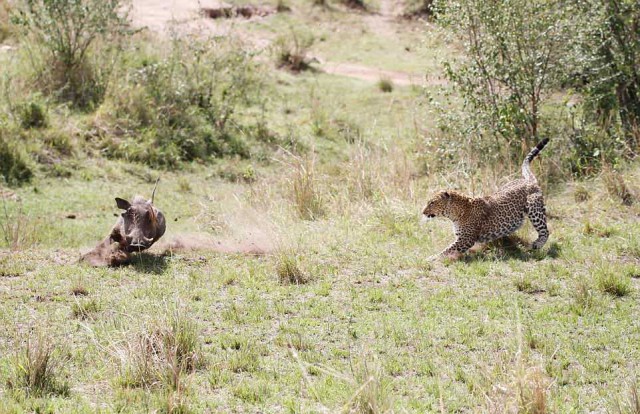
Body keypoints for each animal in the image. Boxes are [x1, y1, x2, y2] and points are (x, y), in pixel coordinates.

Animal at [422, 137, 552, 258]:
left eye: (432, 203)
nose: (423, 212)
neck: (455, 213)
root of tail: (528, 180)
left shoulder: (466, 239)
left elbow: (446, 250)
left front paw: (431, 258)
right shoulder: (462, 238)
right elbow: (449, 250)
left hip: (534, 207)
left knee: (545, 230)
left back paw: (537, 244)